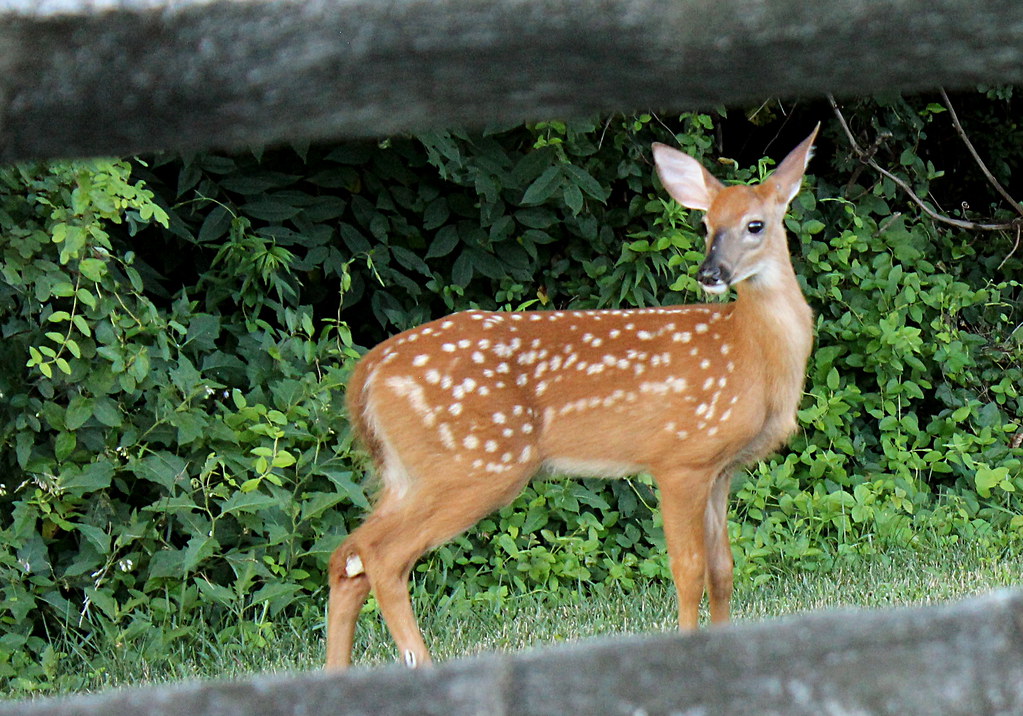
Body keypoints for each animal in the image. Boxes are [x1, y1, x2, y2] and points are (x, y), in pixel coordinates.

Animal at [326, 126, 819, 670]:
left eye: (755, 225)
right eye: (708, 224)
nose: (711, 274)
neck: (750, 351)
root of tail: (366, 374)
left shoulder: (721, 470)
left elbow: (724, 571)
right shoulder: (679, 459)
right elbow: (689, 573)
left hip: (408, 473)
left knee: (348, 555)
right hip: (475, 465)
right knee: (381, 557)